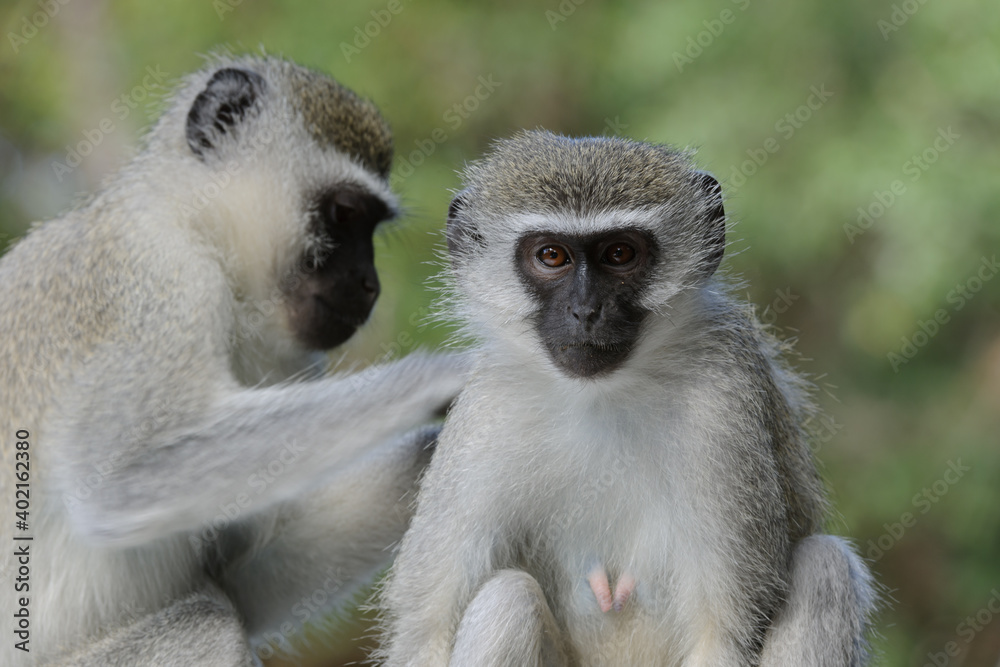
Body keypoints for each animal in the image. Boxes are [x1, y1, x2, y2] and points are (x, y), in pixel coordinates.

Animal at [0, 54, 466, 664]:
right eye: (344, 214)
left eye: (370, 225)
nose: (370, 285)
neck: (198, 228)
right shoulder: (159, 280)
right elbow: (117, 480)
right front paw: (445, 376)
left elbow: (242, 580)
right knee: (208, 624)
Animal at [378, 130, 880, 667]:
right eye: (551, 256)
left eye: (619, 254)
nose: (585, 311)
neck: (601, 396)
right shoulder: (486, 412)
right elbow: (423, 636)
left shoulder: (724, 399)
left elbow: (720, 637)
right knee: (507, 599)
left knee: (826, 567)